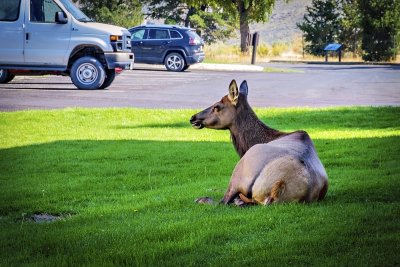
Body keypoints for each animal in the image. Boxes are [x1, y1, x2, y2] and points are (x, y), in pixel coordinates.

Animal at [189, 80, 326, 206]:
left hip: (239, 172)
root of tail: (280, 184)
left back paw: (202, 199)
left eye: (217, 106)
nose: (193, 117)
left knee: (223, 201)